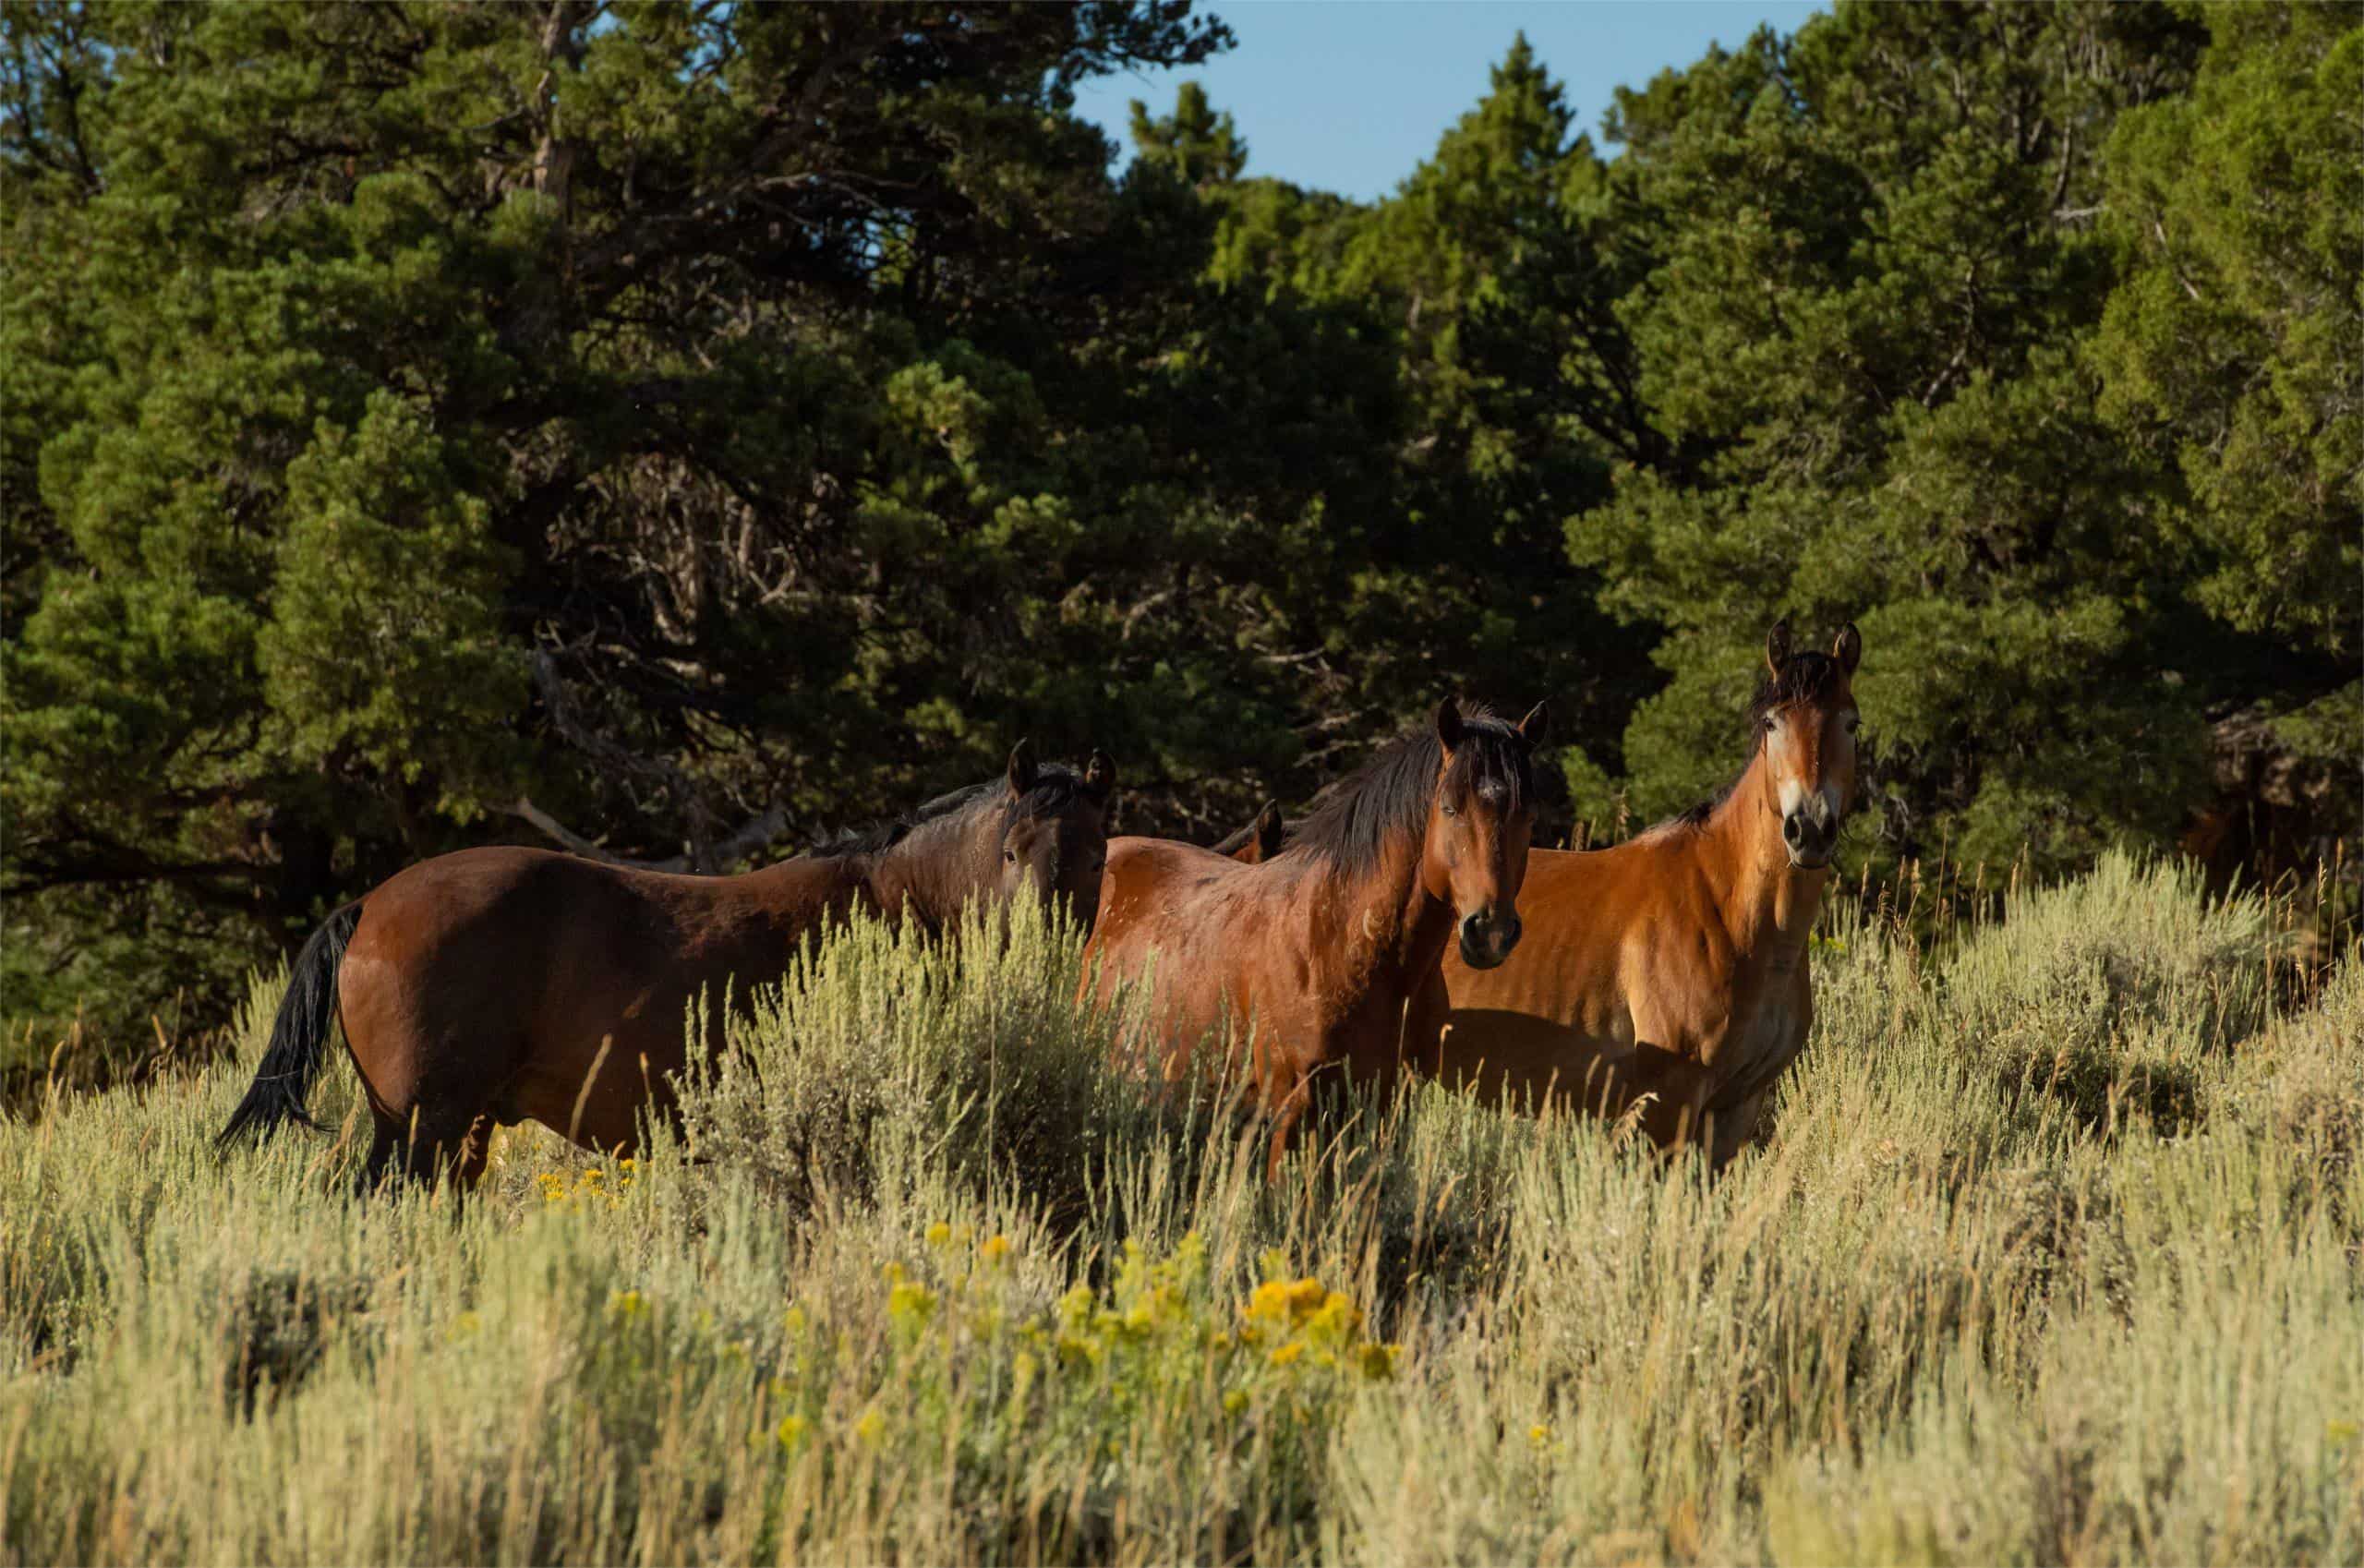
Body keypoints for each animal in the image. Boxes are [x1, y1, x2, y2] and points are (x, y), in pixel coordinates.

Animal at [218, 743, 1117, 1187]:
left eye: (1097, 852)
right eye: (1010, 851)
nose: (1045, 948)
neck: (898, 895)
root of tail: (370, 906)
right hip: (420, 1126)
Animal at [1084, 699, 1546, 1176]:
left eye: (1528, 816)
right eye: (1450, 809)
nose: (1490, 931)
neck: (1341, 944)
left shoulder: (1389, 1111)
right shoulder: (1294, 1112)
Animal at [1417, 624, 1862, 1166]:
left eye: (1851, 724)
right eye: (1772, 723)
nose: (1810, 830)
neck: (1728, 908)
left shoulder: (1735, 1109)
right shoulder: (1668, 1103)